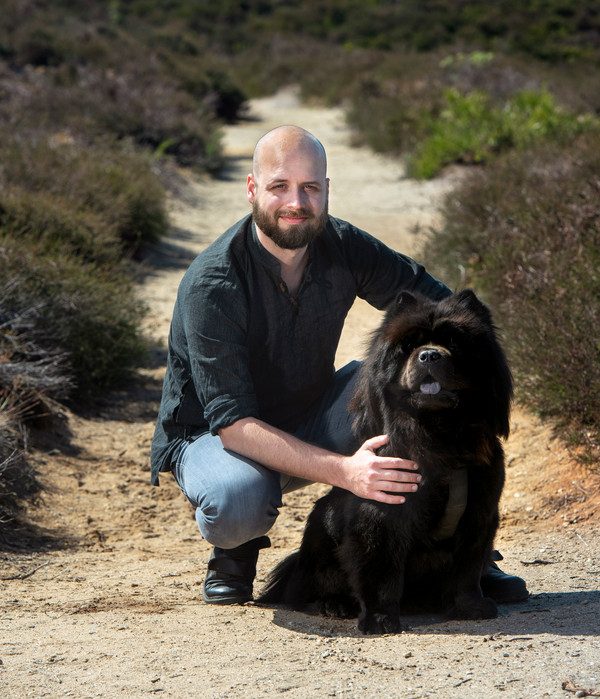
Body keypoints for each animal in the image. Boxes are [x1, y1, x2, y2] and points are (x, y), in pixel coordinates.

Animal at [255, 288, 512, 636]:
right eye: (409, 346)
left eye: (453, 342)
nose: (429, 355)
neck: (439, 436)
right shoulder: (382, 513)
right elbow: (379, 572)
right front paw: (379, 620)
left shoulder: (480, 510)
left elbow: (468, 570)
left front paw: (472, 607)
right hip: (322, 528)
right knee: (315, 586)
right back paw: (335, 605)